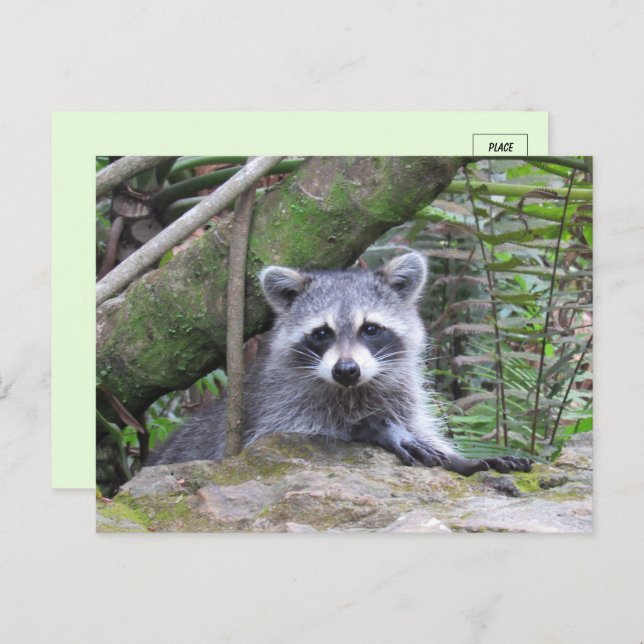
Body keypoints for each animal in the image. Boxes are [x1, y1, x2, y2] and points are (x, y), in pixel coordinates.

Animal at [147, 252, 531, 476]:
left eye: (370, 329)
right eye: (322, 333)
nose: (346, 370)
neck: (353, 390)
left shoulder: (401, 393)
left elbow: (420, 428)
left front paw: (461, 459)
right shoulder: (275, 403)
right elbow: (287, 433)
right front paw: (373, 427)